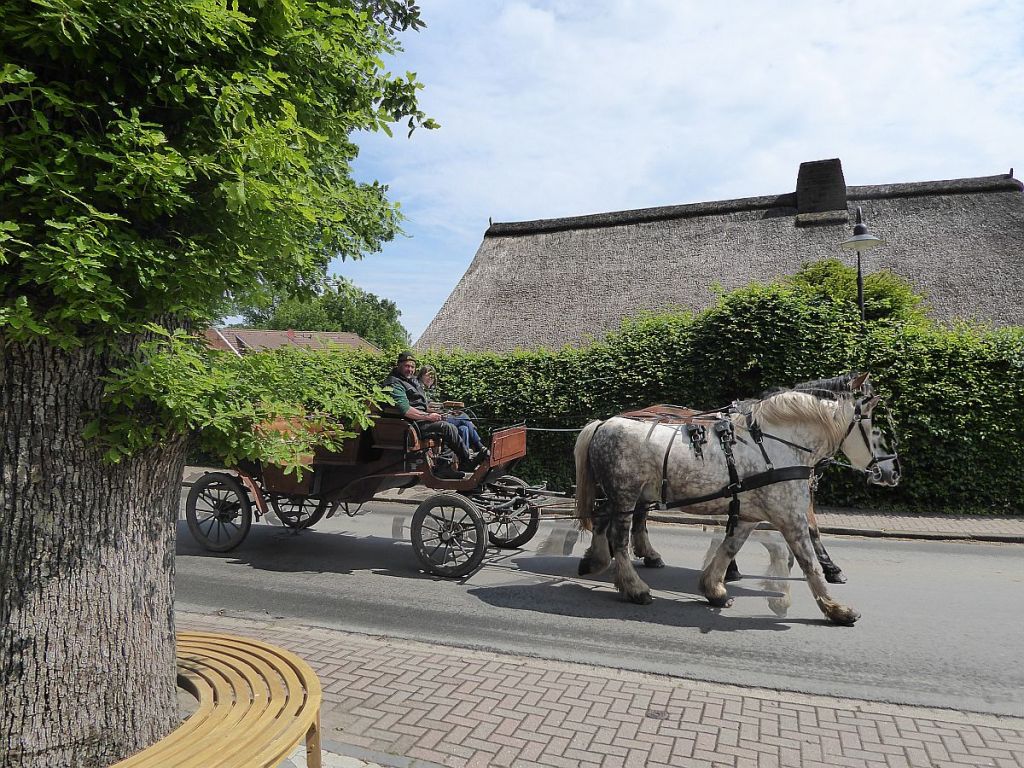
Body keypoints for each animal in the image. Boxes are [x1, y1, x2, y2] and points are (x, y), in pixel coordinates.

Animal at [572, 373, 899, 625]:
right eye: (875, 426)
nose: (893, 473)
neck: (774, 442)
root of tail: (604, 423)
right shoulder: (790, 515)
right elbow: (808, 559)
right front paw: (835, 607)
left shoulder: (748, 515)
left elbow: (729, 547)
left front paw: (714, 588)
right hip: (625, 495)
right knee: (619, 540)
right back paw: (634, 587)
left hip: (624, 495)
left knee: (606, 524)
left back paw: (598, 561)